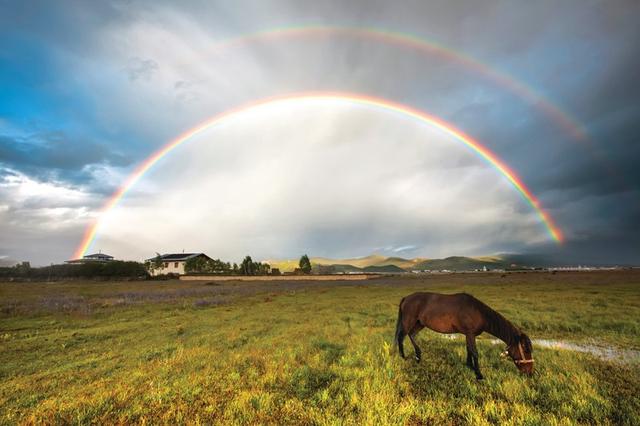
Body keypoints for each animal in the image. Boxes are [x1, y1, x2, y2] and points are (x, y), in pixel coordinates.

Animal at [396, 292, 536, 380]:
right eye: (526, 350)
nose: (530, 373)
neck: (478, 312)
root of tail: (406, 298)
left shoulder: (468, 335)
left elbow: (468, 349)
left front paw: (469, 366)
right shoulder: (470, 334)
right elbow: (474, 352)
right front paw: (479, 374)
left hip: (419, 323)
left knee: (412, 335)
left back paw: (418, 356)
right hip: (409, 321)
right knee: (402, 336)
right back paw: (403, 357)